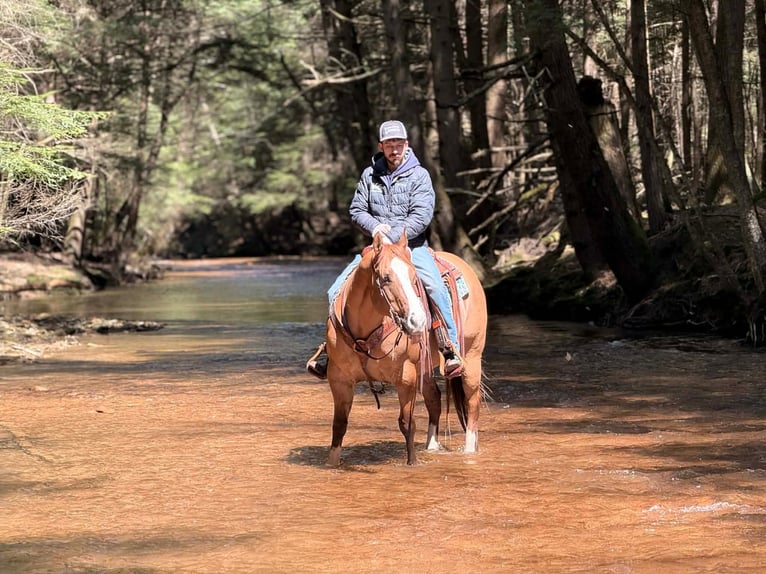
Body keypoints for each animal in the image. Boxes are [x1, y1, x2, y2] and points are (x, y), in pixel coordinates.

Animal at [323, 232, 487, 466]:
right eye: (385, 277)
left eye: (413, 277)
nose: (417, 321)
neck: (365, 335)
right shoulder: (339, 379)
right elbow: (339, 425)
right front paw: (331, 465)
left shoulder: (406, 376)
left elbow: (407, 424)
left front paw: (413, 463)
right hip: (425, 367)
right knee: (434, 399)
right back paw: (431, 447)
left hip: (472, 358)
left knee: (472, 403)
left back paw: (468, 451)